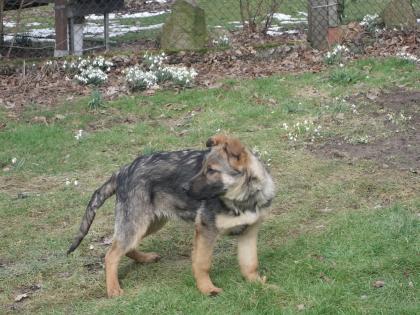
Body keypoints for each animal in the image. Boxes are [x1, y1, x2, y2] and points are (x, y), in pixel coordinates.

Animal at [67, 135, 276, 298]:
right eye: (202, 168)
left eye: (211, 171)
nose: (183, 188)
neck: (243, 198)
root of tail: (122, 171)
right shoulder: (206, 229)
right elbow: (203, 263)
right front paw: (207, 288)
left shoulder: (249, 232)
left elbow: (250, 263)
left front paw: (259, 284)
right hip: (137, 222)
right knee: (111, 254)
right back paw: (113, 289)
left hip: (151, 222)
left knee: (122, 247)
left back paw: (145, 258)